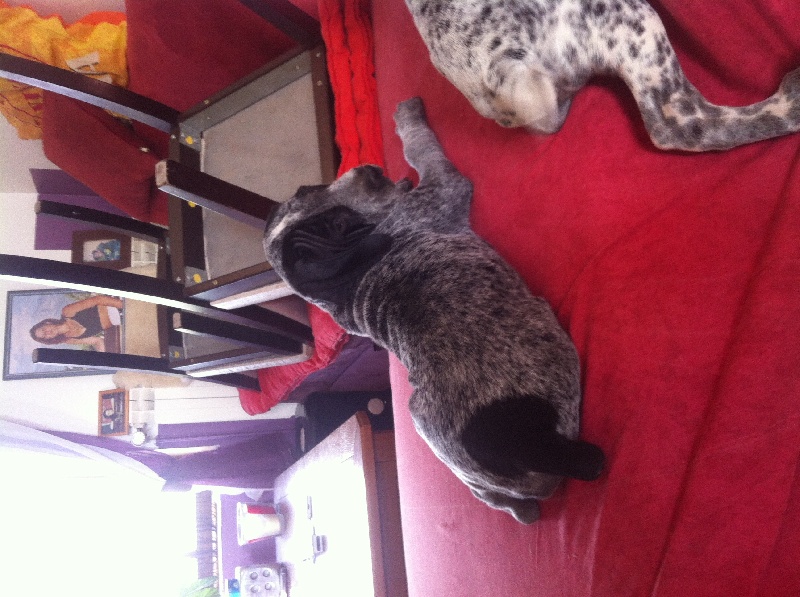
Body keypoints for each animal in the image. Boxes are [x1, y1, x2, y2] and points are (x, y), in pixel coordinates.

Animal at [264, 98, 604, 523]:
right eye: (336, 223)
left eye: (307, 188)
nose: (368, 169)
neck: (345, 279)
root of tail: (530, 447)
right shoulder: (442, 186)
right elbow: (420, 148)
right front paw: (408, 121)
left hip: (448, 446)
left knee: (497, 498)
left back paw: (520, 509)